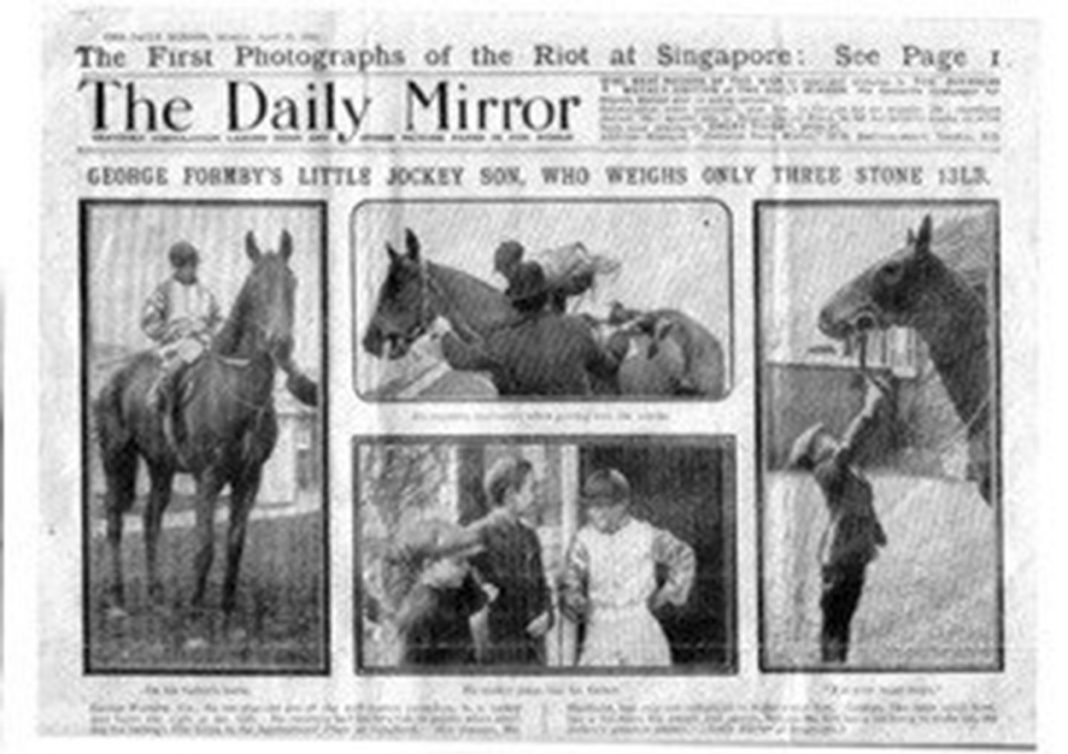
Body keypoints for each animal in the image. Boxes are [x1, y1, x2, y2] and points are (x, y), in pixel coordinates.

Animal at [94, 231, 299, 615]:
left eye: (291, 282)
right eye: (254, 284)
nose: (280, 343)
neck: (236, 391)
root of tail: (114, 377)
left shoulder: (249, 478)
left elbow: (235, 543)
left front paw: (227, 605)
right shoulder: (209, 477)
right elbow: (205, 544)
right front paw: (195, 605)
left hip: (160, 465)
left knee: (151, 520)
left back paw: (155, 593)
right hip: (115, 458)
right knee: (114, 520)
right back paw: (117, 596)